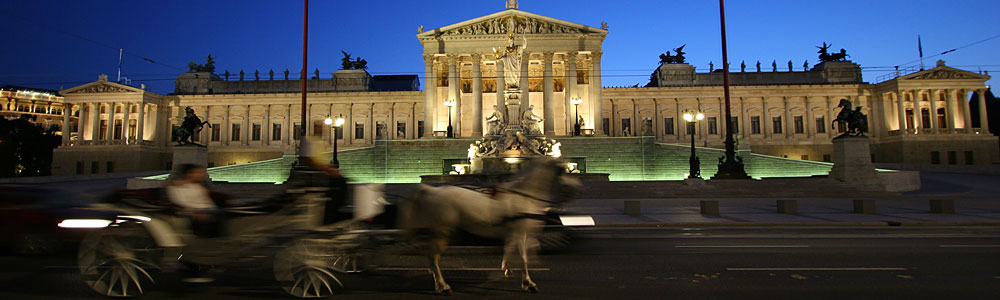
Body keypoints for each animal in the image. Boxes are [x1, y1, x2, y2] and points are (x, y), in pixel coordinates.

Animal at [402, 158, 584, 294]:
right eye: (563, 171)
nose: (578, 188)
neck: (526, 195)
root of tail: (432, 190)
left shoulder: (514, 231)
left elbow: (511, 249)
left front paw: (507, 269)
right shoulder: (521, 230)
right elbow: (524, 257)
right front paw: (528, 283)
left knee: (430, 255)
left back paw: (435, 279)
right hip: (444, 231)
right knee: (433, 257)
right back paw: (443, 286)